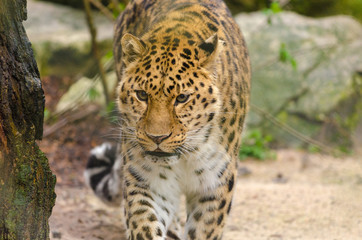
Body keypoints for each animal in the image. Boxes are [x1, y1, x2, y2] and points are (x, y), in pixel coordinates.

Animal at [84, 0, 252, 239]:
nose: (157, 137)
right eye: (142, 95)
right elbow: (144, 225)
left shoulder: (215, 186)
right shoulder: (148, 182)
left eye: (181, 98)